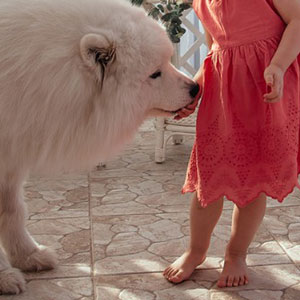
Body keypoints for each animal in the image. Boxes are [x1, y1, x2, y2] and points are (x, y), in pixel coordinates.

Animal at [0, 0, 199, 292]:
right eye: (155, 73)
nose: (196, 88)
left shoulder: (11, 158)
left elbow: (13, 211)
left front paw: (29, 256)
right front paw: (5, 275)